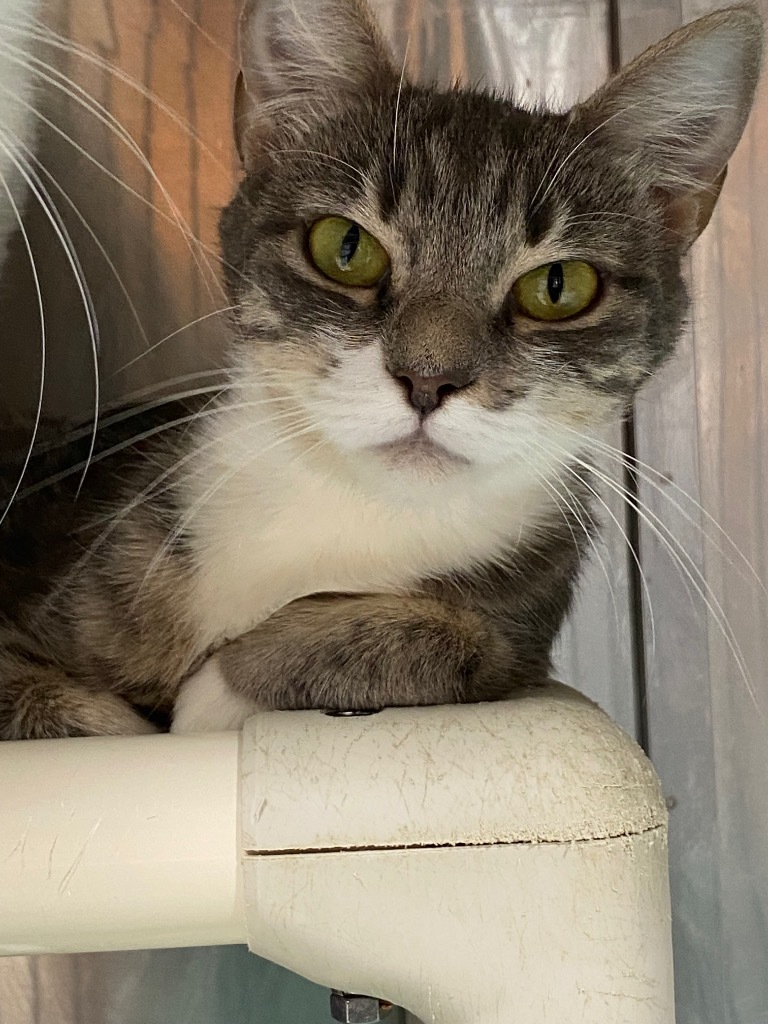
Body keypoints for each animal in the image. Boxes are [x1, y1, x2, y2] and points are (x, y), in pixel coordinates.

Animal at [0, 0, 761, 741]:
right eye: (346, 247)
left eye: (558, 287)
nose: (429, 379)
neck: (347, 506)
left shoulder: (525, 617)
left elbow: (462, 637)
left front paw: (225, 688)